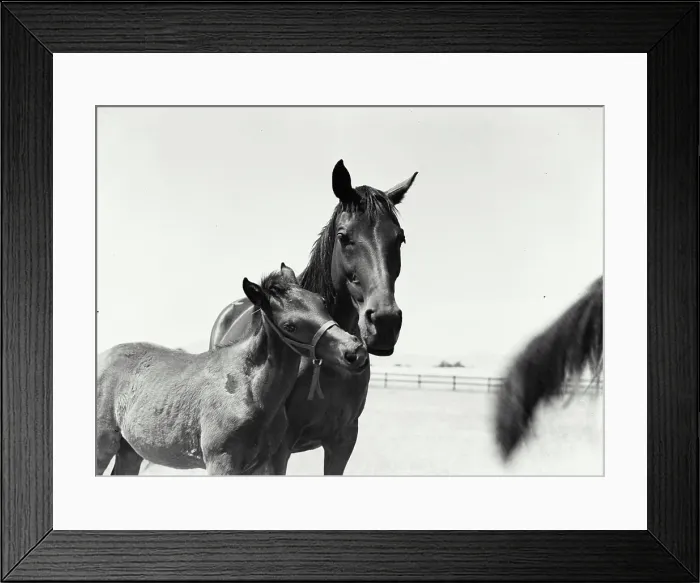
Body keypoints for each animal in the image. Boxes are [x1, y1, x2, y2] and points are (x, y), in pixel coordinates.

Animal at [96, 264, 367, 476]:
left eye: (322, 302)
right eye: (290, 326)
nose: (355, 351)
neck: (250, 390)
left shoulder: (262, 465)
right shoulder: (221, 463)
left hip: (130, 450)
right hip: (102, 448)